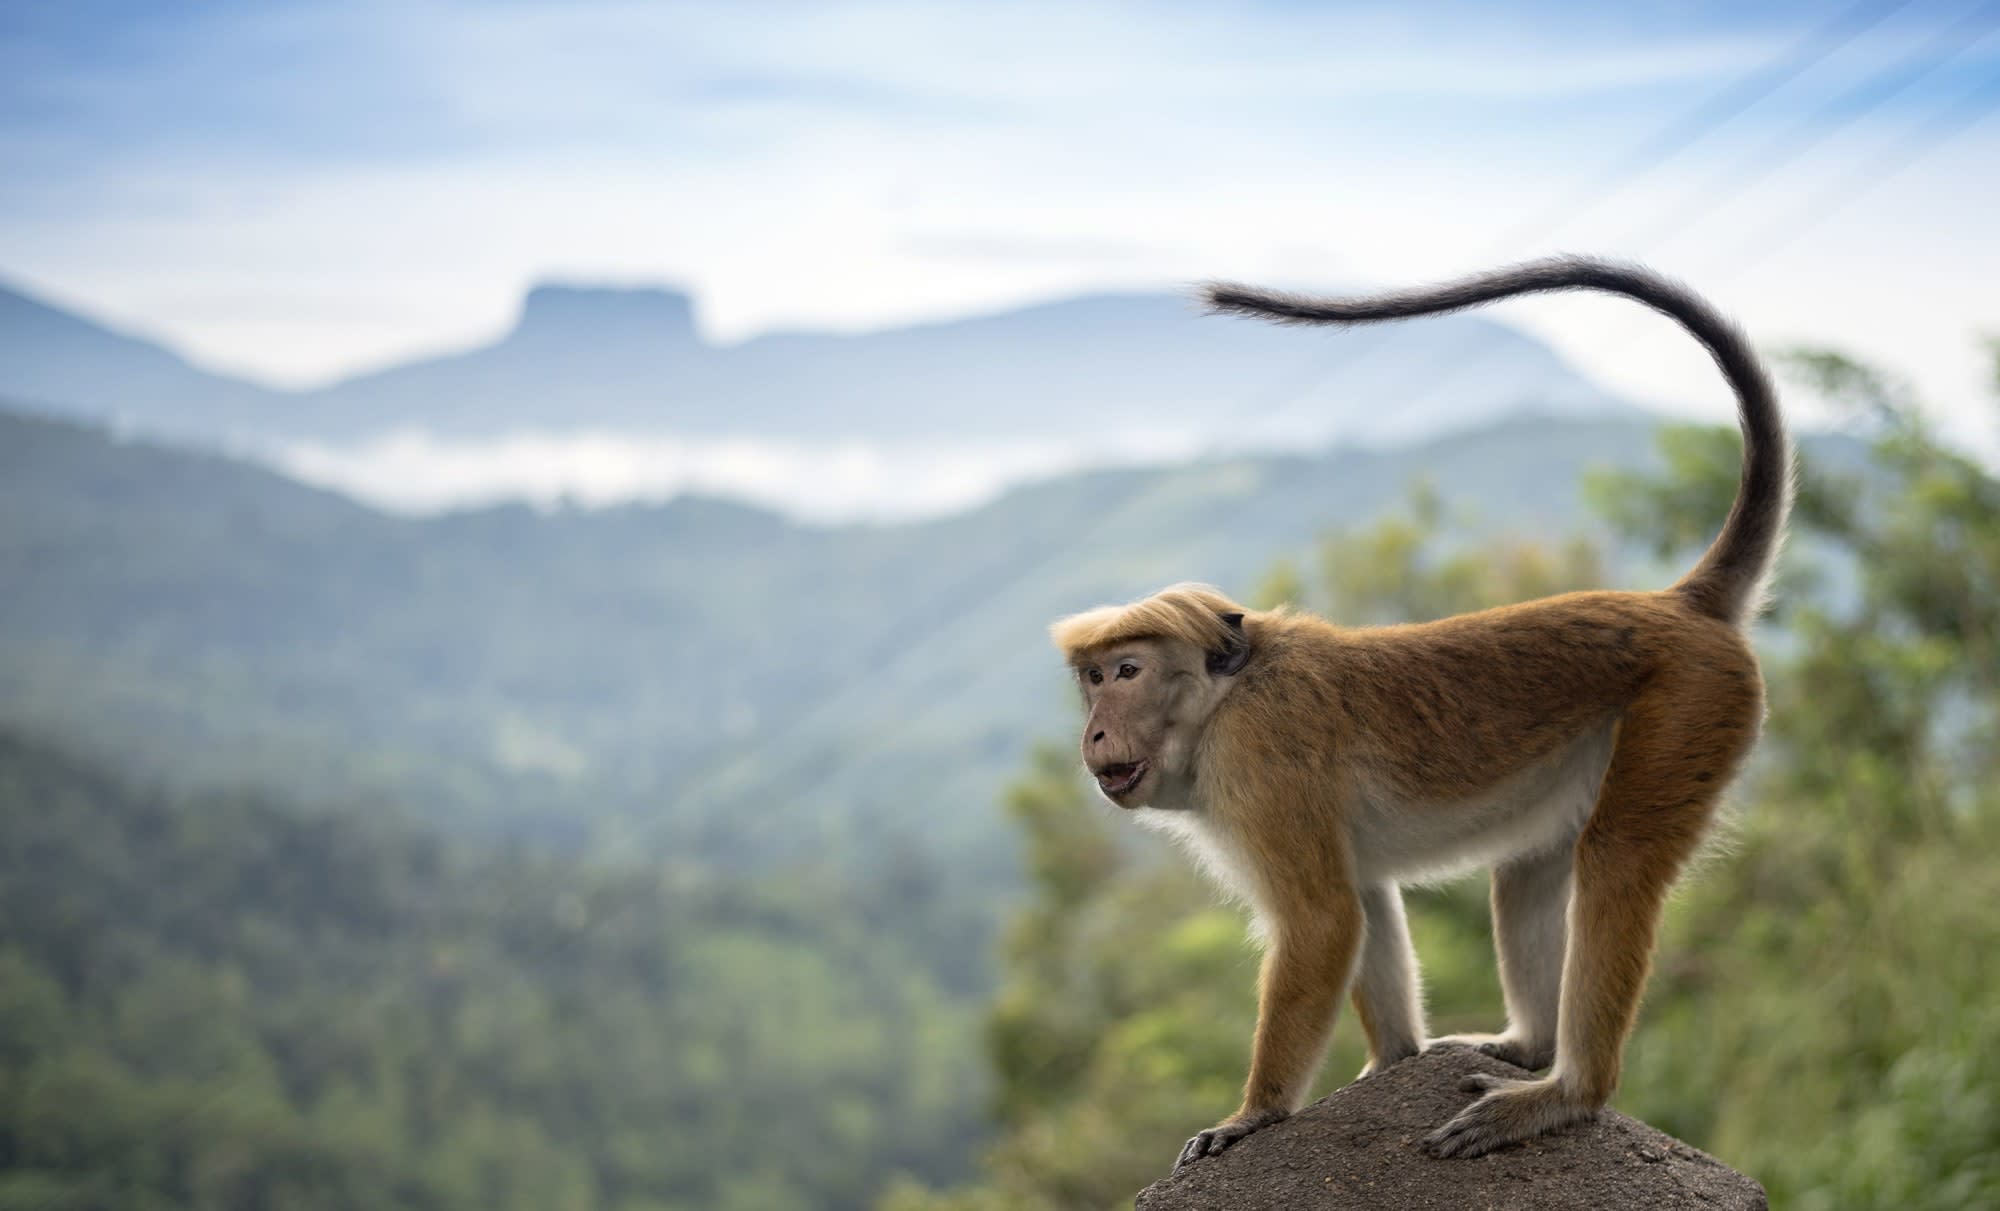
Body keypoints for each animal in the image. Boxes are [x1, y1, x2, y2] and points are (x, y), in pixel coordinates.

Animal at [1048, 256, 1789, 1167]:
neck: (1229, 698)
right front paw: (1393, 1058)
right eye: (1091, 679)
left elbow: (1322, 921)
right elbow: (1361, 901)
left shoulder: (1260, 762)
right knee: (1526, 872)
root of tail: (1680, 606)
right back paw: (1531, 1047)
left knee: (1616, 856)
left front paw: (1252, 1115)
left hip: (1689, 702)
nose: (1094, 729)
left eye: (1126, 671)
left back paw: (1567, 1092)